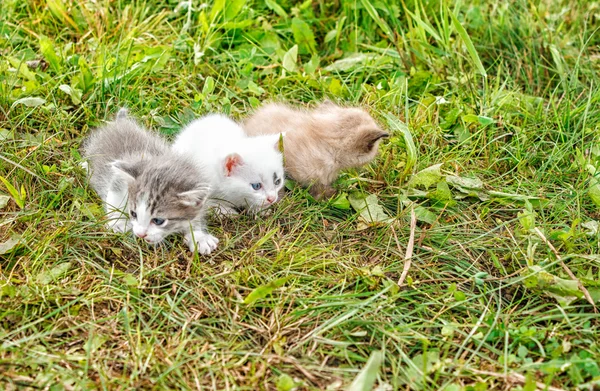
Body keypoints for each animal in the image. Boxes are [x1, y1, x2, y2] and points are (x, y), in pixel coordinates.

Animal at [81, 107, 218, 256]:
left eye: (158, 221)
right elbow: (114, 197)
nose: (140, 234)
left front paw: (199, 236)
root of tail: (120, 122)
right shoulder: (120, 178)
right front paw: (118, 223)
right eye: (133, 213)